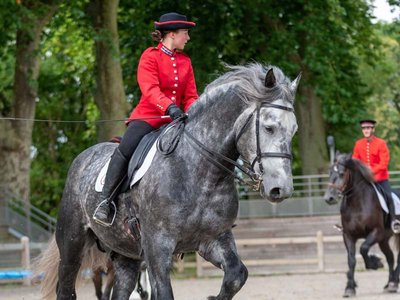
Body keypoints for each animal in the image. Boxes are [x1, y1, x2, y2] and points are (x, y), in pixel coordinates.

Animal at [35, 63, 300, 300]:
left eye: (294, 130)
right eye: (269, 127)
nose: (281, 189)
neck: (200, 174)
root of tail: (83, 157)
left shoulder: (214, 239)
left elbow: (236, 276)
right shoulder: (157, 247)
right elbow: (163, 293)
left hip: (125, 254)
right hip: (72, 244)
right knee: (66, 290)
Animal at [324, 152, 400, 298]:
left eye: (342, 173)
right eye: (329, 172)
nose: (328, 198)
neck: (357, 204)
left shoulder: (376, 232)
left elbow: (363, 248)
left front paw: (375, 263)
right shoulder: (348, 235)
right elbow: (351, 260)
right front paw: (349, 288)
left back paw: (394, 283)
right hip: (383, 240)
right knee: (390, 257)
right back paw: (389, 284)